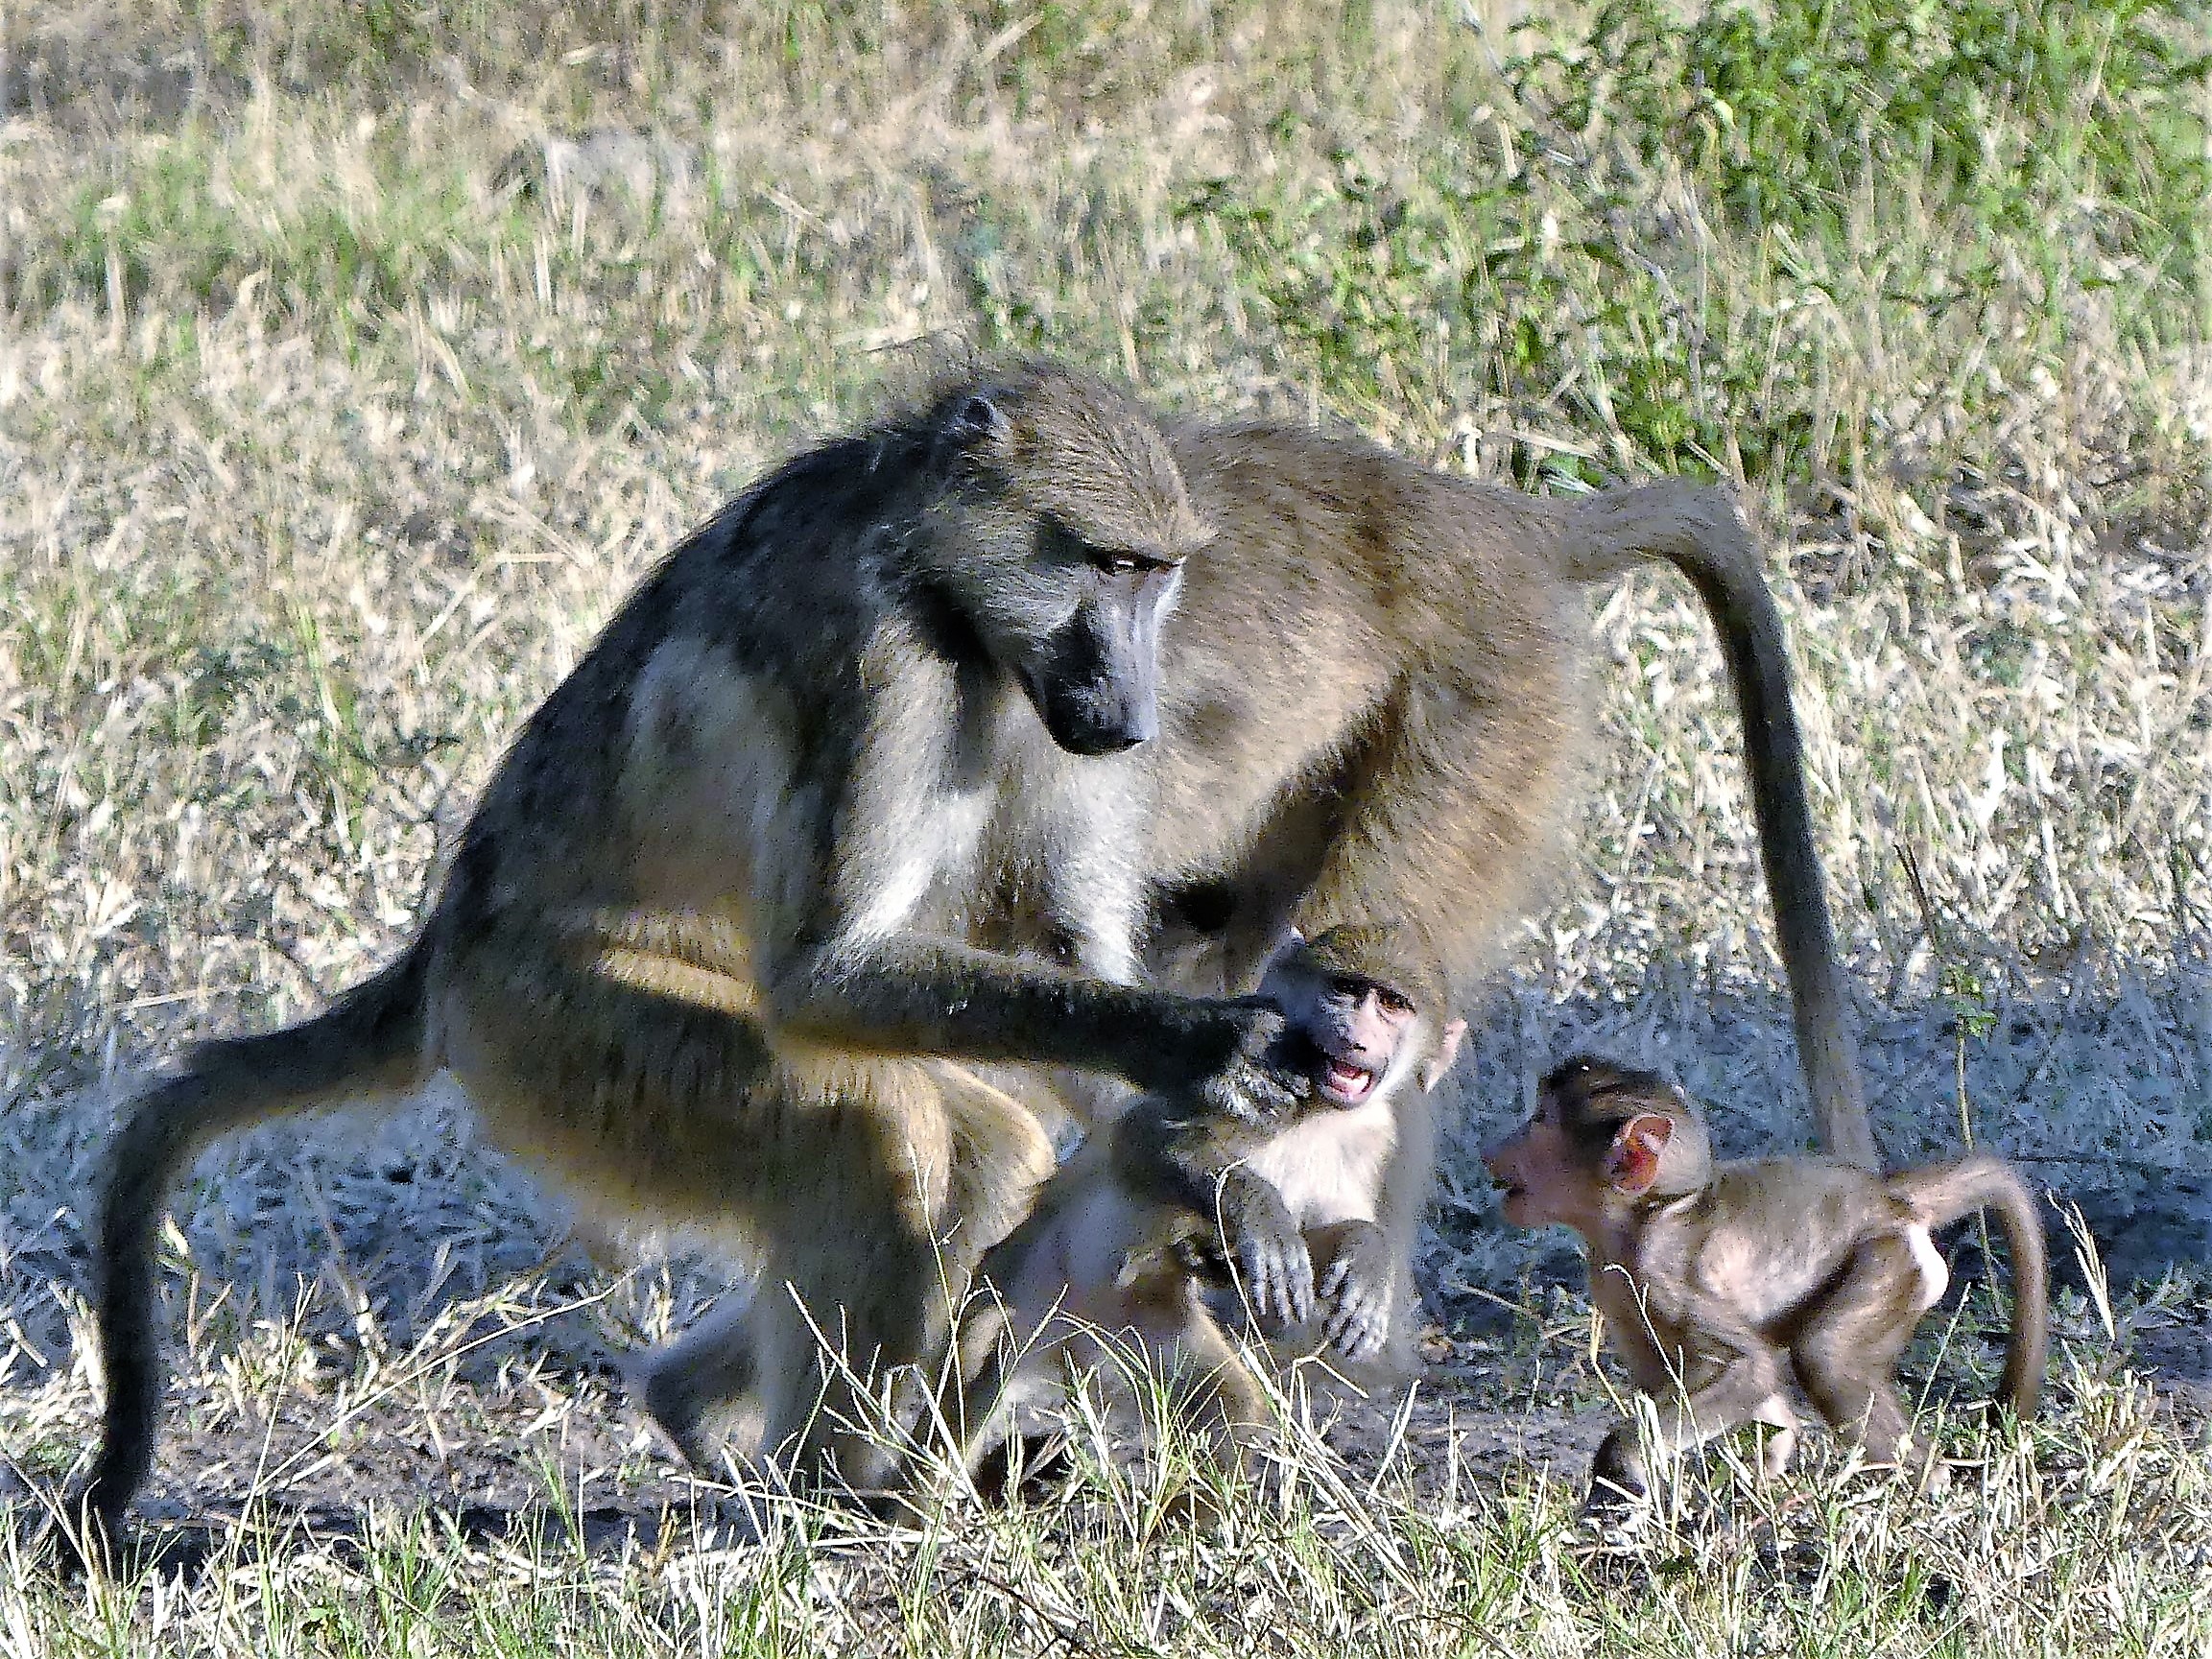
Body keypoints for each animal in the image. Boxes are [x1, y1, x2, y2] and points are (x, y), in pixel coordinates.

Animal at [937, 926, 1465, 1483]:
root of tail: (1071, 1337)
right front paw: (1258, 1213)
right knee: (969, 1393)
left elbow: (1331, 1238)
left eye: (1392, 1005)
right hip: (1025, 1294)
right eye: (1345, 990)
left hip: (1140, 1332)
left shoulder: (1374, 1136)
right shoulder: (1250, 1073)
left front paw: (1367, 1262)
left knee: (1232, 1408)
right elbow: (1142, 1143)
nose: (1357, 1036)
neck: (1320, 1112)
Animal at [1482, 1055, 2048, 1506]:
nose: (1498, 1147)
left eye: (1538, 1121)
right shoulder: (1613, 1284)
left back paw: (1928, 1487)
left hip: (1891, 1262)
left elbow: (1747, 1368)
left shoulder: (1660, 1270)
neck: (1650, 1214)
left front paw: (1623, 1465)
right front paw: (1759, 1478)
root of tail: (1893, 1203)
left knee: (1826, 1356)